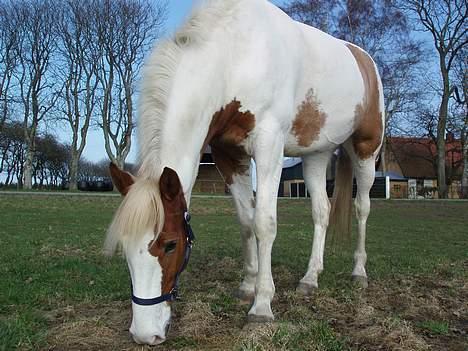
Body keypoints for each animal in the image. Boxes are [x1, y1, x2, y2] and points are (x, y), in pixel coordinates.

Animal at [106, 0, 384, 346]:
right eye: (125, 248)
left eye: (170, 244)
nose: (145, 334)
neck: (236, 58)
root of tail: (364, 59)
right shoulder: (229, 156)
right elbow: (246, 221)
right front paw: (248, 286)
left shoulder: (269, 147)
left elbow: (264, 223)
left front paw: (262, 305)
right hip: (316, 156)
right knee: (322, 211)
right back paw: (310, 279)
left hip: (366, 150)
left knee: (363, 208)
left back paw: (359, 272)